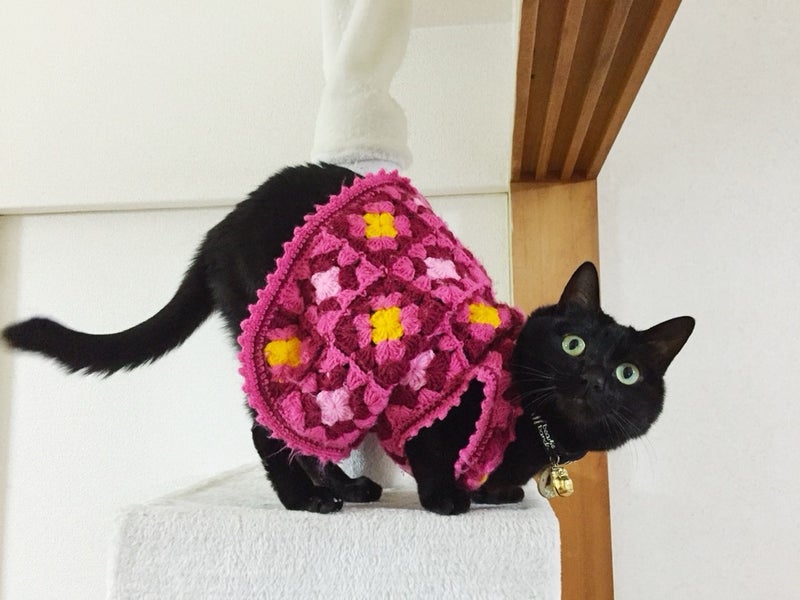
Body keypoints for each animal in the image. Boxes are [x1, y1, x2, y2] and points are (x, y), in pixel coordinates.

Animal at [2, 163, 695, 515]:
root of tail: (218, 228)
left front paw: (497, 491)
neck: (534, 426)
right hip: (298, 345)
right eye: (573, 344)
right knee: (268, 432)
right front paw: (451, 498)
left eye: (629, 373)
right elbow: (431, 451)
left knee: (299, 439)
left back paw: (345, 488)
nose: (593, 378)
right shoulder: (424, 391)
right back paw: (308, 502)